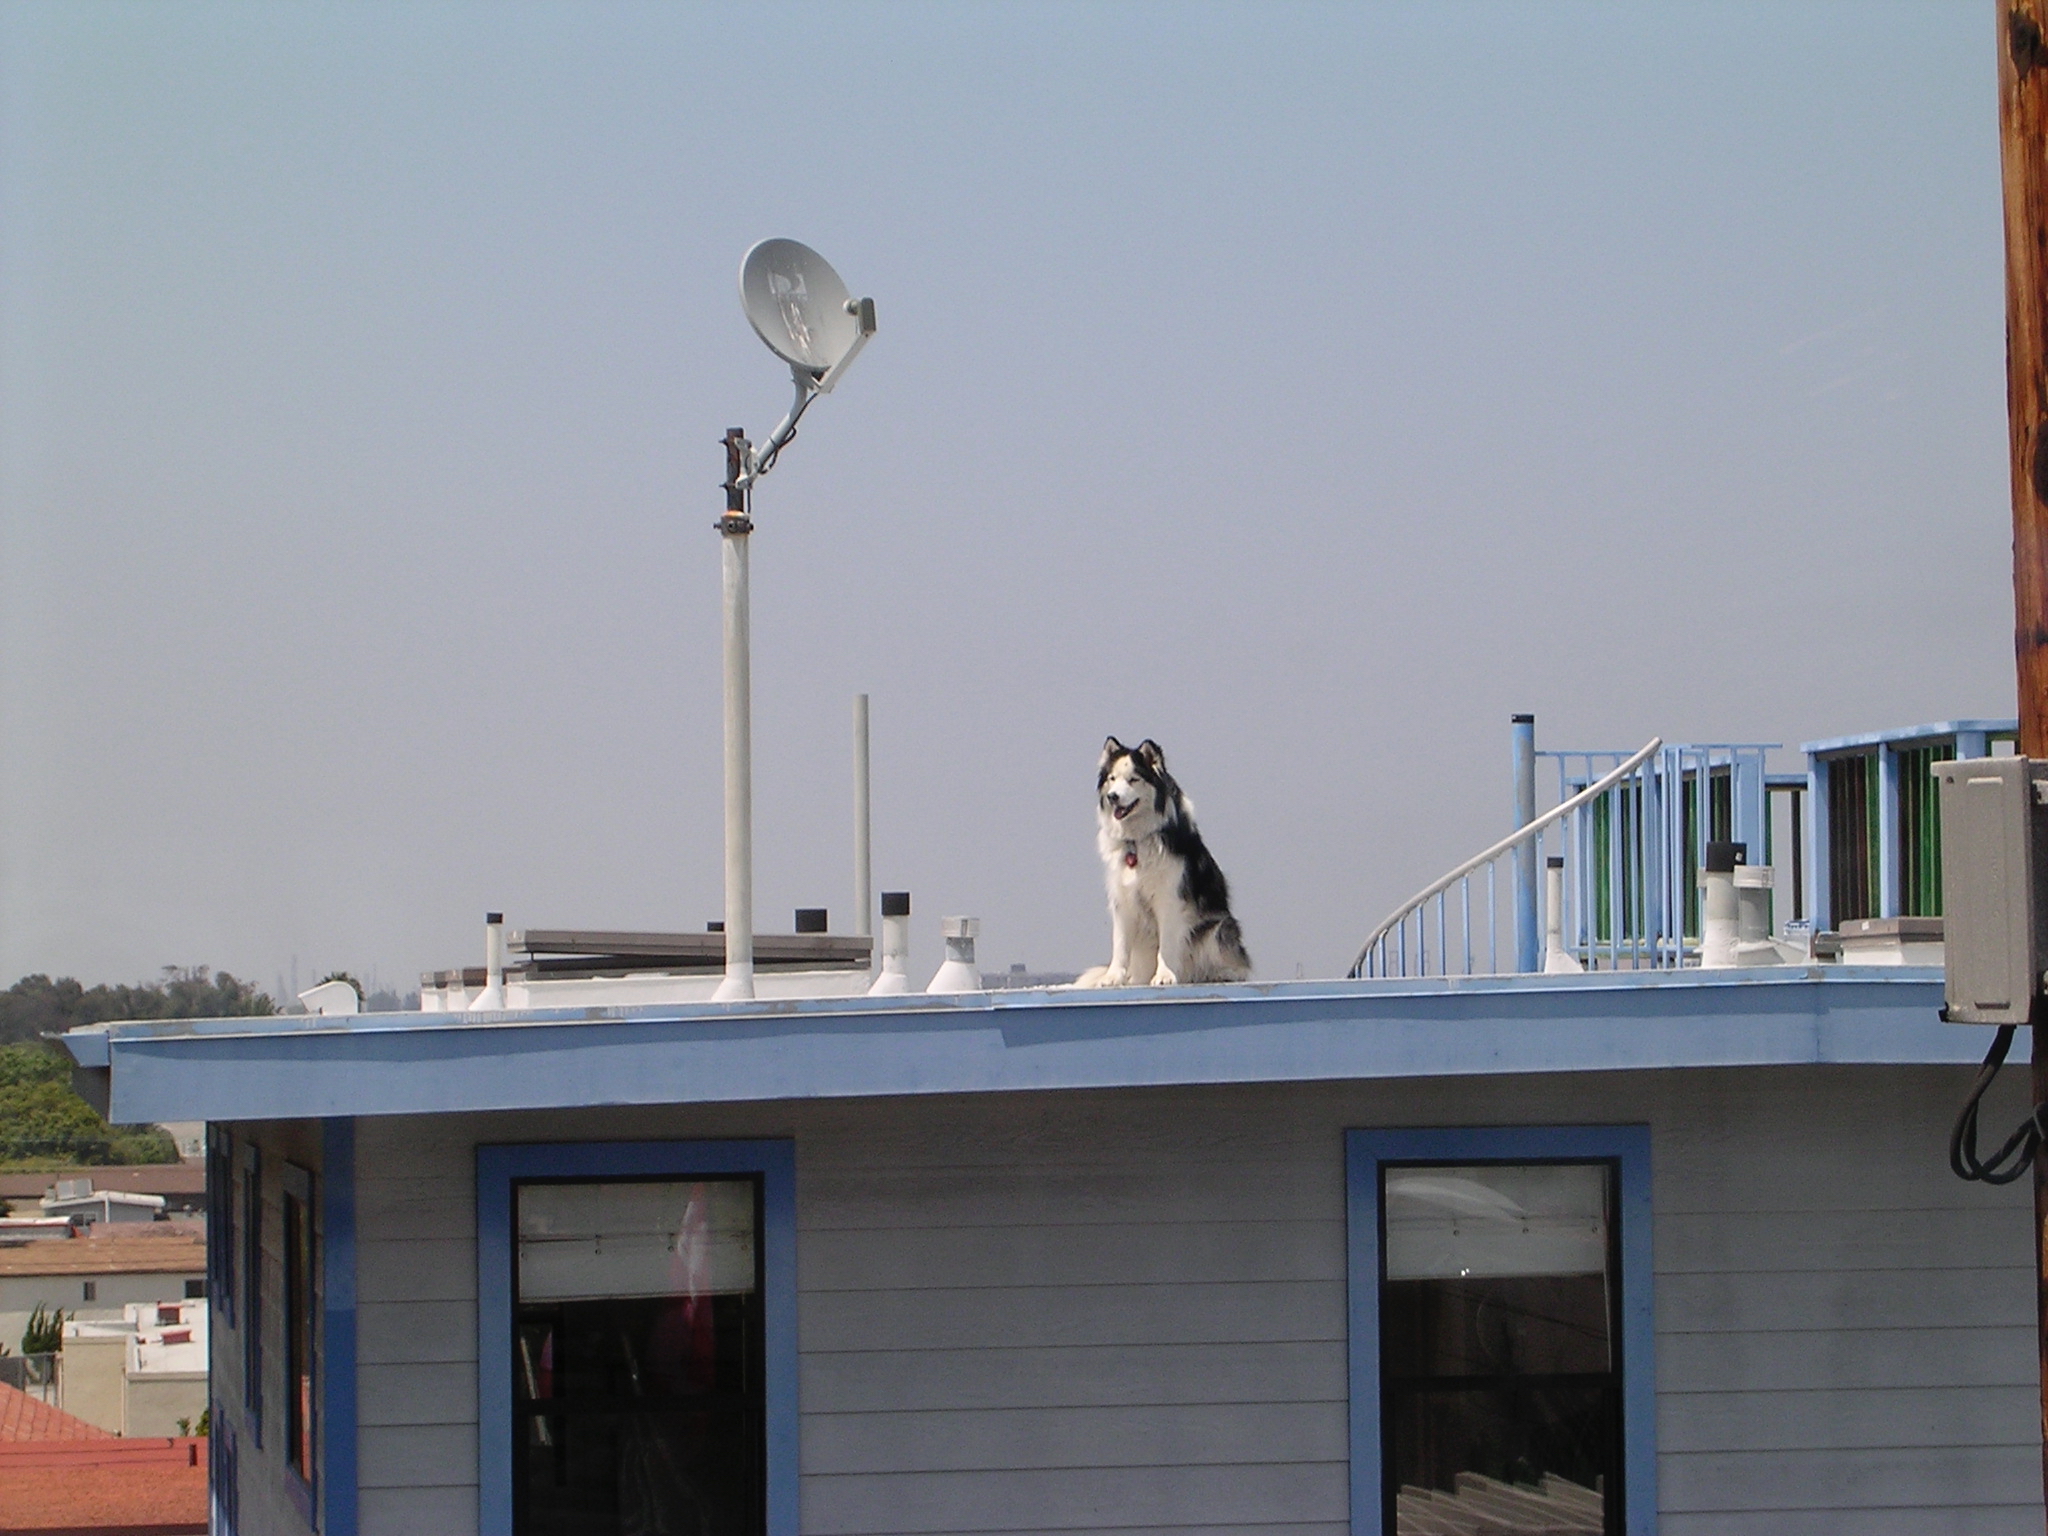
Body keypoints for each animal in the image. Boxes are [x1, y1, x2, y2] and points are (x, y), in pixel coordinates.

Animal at [1073, 741, 1245, 987]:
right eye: (1112, 779)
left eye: (1133, 779)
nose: (1113, 797)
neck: (1136, 840)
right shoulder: (1122, 901)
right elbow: (1120, 945)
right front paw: (1113, 977)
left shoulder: (1169, 898)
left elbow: (1167, 944)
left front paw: (1164, 975)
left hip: (1219, 927)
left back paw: (1222, 973)